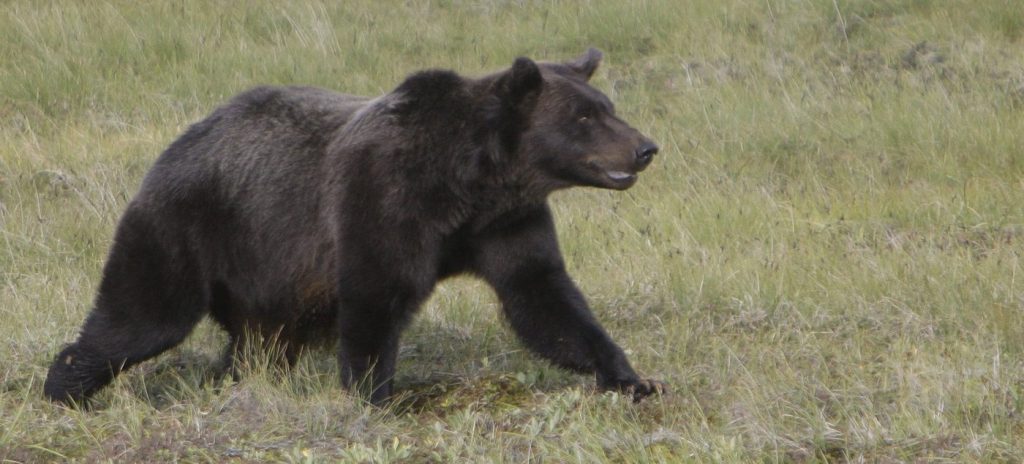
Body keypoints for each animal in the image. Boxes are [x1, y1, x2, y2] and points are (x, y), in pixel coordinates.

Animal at [44, 48, 664, 406]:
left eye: (606, 105)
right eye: (585, 117)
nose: (645, 148)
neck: (471, 182)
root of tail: (179, 141)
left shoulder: (506, 224)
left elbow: (544, 299)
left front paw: (632, 377)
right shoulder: (384, 199)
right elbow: (375, 295)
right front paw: (376, 397)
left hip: (268, 275)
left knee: (258, 343)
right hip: (190, 227)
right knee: (142, 314)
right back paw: (65, 388)